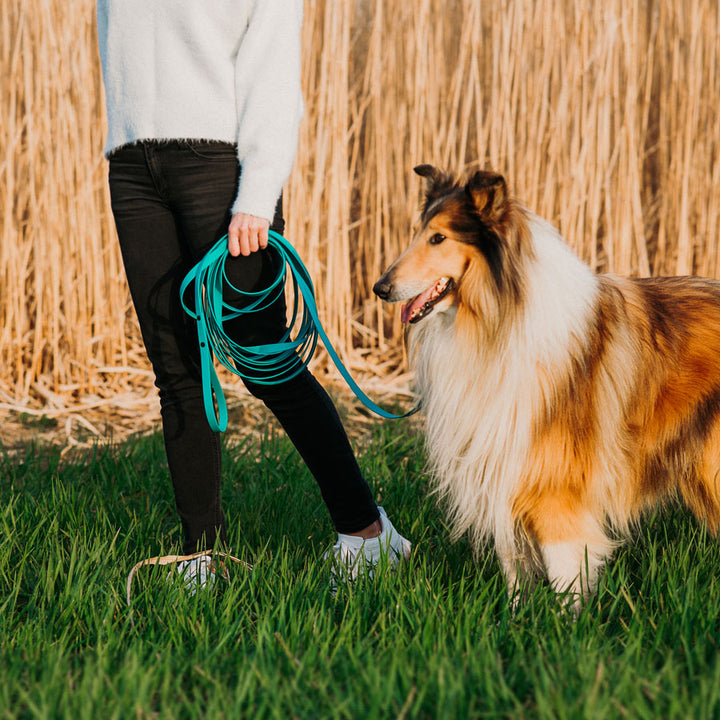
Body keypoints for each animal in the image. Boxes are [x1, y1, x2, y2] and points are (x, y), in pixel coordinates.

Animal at [374, 166, 720, 612]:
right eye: (419, 233)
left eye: (438, 238)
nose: (380, 288)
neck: (498, 323)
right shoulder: (504, 466)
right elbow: (514, 567)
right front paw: (515, 619)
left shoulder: (555, 487)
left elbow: (565, 575)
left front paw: (564, 624)